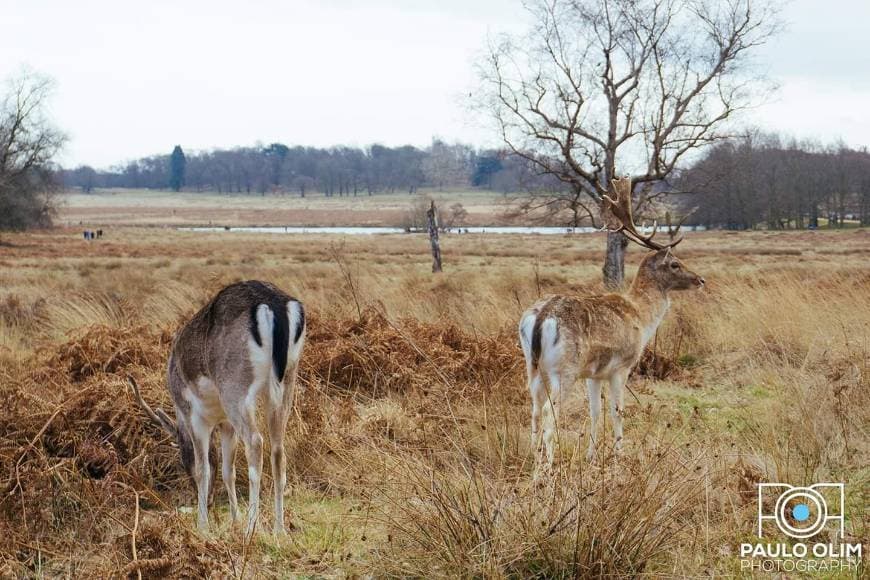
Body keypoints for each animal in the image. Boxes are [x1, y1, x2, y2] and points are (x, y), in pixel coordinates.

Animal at [129, 280, 306, 536]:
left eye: (182, 460)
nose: (211, 501)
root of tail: (274, 304)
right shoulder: (226, 424)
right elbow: (226, 471)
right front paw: (234, 519)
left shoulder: (194, 416)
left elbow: (204, 469)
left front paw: (203, 526)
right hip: (287, 381)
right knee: (278, 450)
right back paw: (279, 529)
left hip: (235, 389)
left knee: (256, 442)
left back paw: (251, 528)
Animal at [520, 178, 704, 466]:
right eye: (675, 264)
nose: (700, 280)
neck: (641, 316)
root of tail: (541, 316)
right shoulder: (621, 367)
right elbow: (618, 410)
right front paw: (619, 454)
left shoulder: (594, 374)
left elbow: (595, 411)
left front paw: (591, 455)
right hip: (565, 369)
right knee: (551, 412)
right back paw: (550, 464)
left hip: (532, 366)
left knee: (535, 410)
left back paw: (533, 457)